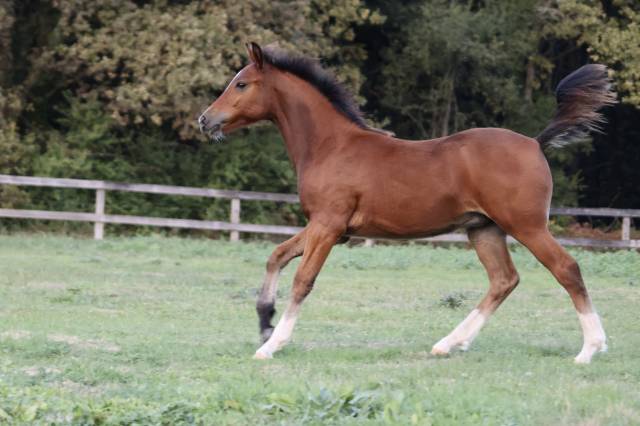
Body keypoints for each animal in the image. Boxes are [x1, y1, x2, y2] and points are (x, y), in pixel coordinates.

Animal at [199, 42, 616, 363]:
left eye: (241, 84)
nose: (205, 120)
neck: (330, 146)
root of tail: (535, 142)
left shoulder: (329, 225)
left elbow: (303, 280)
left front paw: (272, 345)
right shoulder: (326, 225)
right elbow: (276, 256)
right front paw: (264, 322)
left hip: (526, 226)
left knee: (566, 269)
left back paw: (590, 349)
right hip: (484, 229)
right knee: (503, 280)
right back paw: (448, 344)